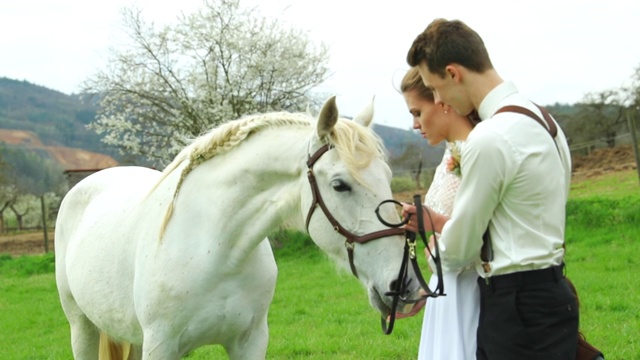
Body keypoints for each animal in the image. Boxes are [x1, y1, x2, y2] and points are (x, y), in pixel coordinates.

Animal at [55, 97, 422, 358]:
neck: (215, 250)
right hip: (82, 329)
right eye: (340, 185)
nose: (404, 285)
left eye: (388, 177)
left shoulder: (250, 342)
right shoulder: (161, 345)